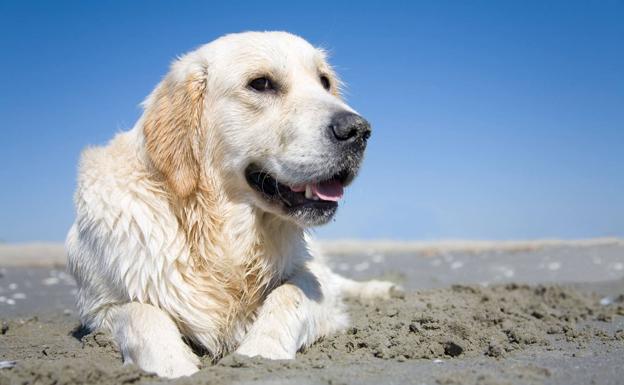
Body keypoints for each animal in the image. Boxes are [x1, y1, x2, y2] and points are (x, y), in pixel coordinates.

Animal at [66, 30, 398, 378]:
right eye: (261, 83)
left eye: (324, 82)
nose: (359, 130)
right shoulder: (98, 306)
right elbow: (140, 312)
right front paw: (174, 366)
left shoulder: (311, 281)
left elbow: (290, 294)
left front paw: (260, 353)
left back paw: (382, 288)